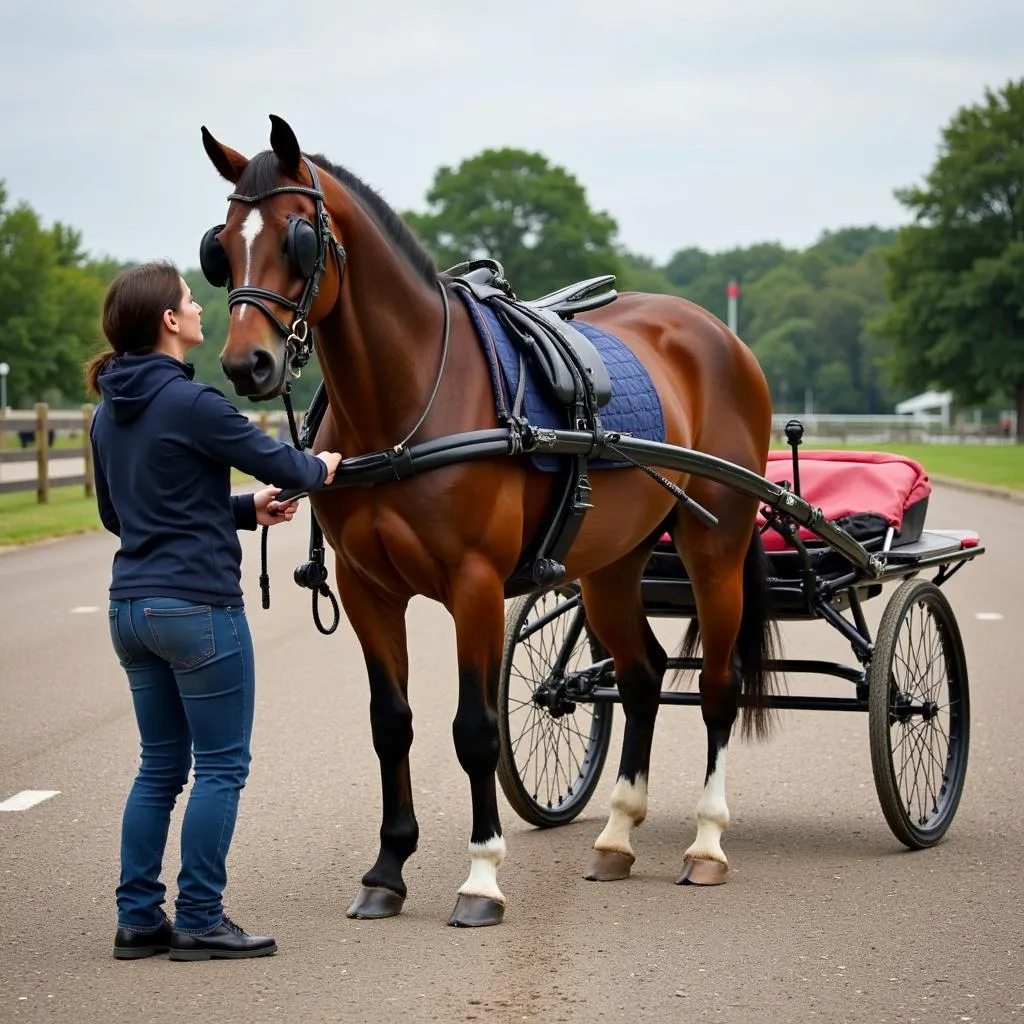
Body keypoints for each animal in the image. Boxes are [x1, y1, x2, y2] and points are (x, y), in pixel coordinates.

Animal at [197, 114, 774, 929]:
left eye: (298, 236)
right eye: (221, 244)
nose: (247, 364)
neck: (407, 402)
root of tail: (716, 334)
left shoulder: (473, 585)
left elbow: (474, 729)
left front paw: (481, 877)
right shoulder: (369, 588)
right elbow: (390, 723)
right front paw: (387, 870)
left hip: (715, 546)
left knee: (719, 686)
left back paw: (707, 842)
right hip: (611, 564)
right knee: (642, 678)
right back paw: (618, 833)